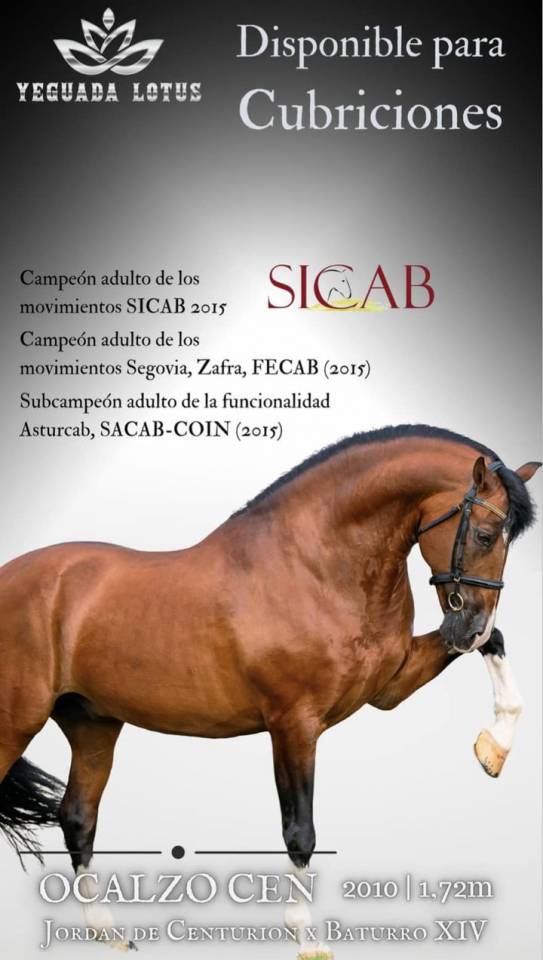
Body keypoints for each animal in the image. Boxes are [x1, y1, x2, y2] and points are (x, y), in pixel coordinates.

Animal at [0, 424, 539, 949]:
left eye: (508, 539)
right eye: (486, 534)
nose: (469, 625)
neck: (316, 568)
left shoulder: (390, 686)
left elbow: (497, 647)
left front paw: (493, 749)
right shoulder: (293, 724)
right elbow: (300, 831)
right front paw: (307, 936)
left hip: (92, 724)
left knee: (78, 818)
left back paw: (108, 933)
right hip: (17, 724)